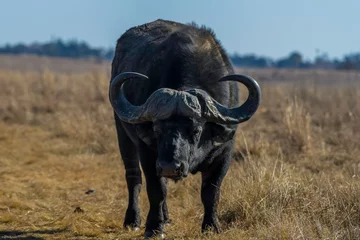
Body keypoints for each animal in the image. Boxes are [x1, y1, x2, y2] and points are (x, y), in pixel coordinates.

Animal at [108, 18, 260, 238]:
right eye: (157, 129)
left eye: (196, 130)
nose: (171, 167)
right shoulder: (149, 154)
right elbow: (156, 190)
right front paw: (154, 227)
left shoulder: (224, 152)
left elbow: (211, 191)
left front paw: (211, 226)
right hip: (123, 134)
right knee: (133, 177)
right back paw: (133, 220)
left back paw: (166, 217)